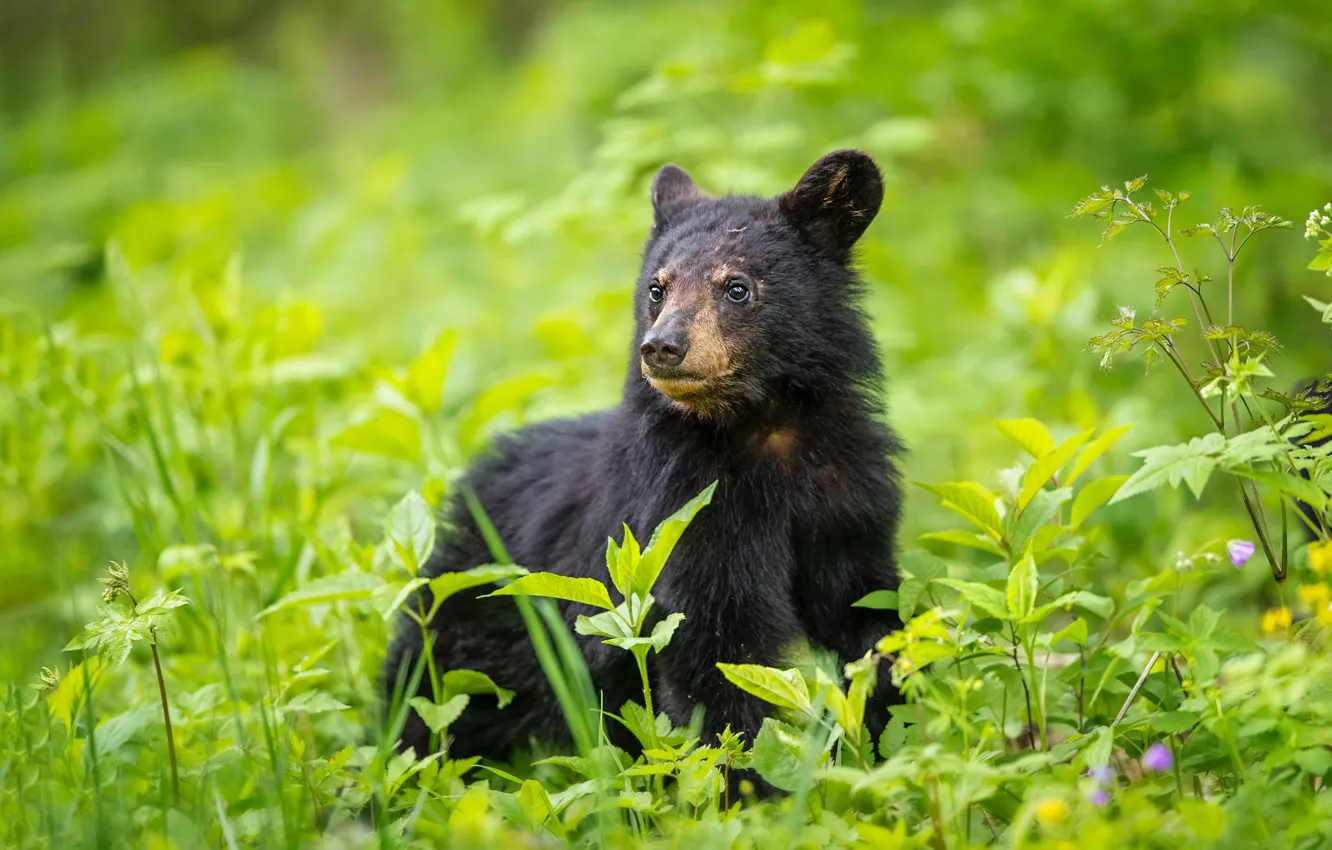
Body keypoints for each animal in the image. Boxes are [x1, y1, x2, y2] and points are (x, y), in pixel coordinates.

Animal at [385, 149, 905, 769]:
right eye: (657, 288)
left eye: (736, 287)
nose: (662, 346)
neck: (764, 432)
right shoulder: (685, 508)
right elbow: (716, 649)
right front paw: (747, 779)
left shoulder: (848, 497)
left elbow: (868, 618)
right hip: (469, 609)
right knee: (429, 695)